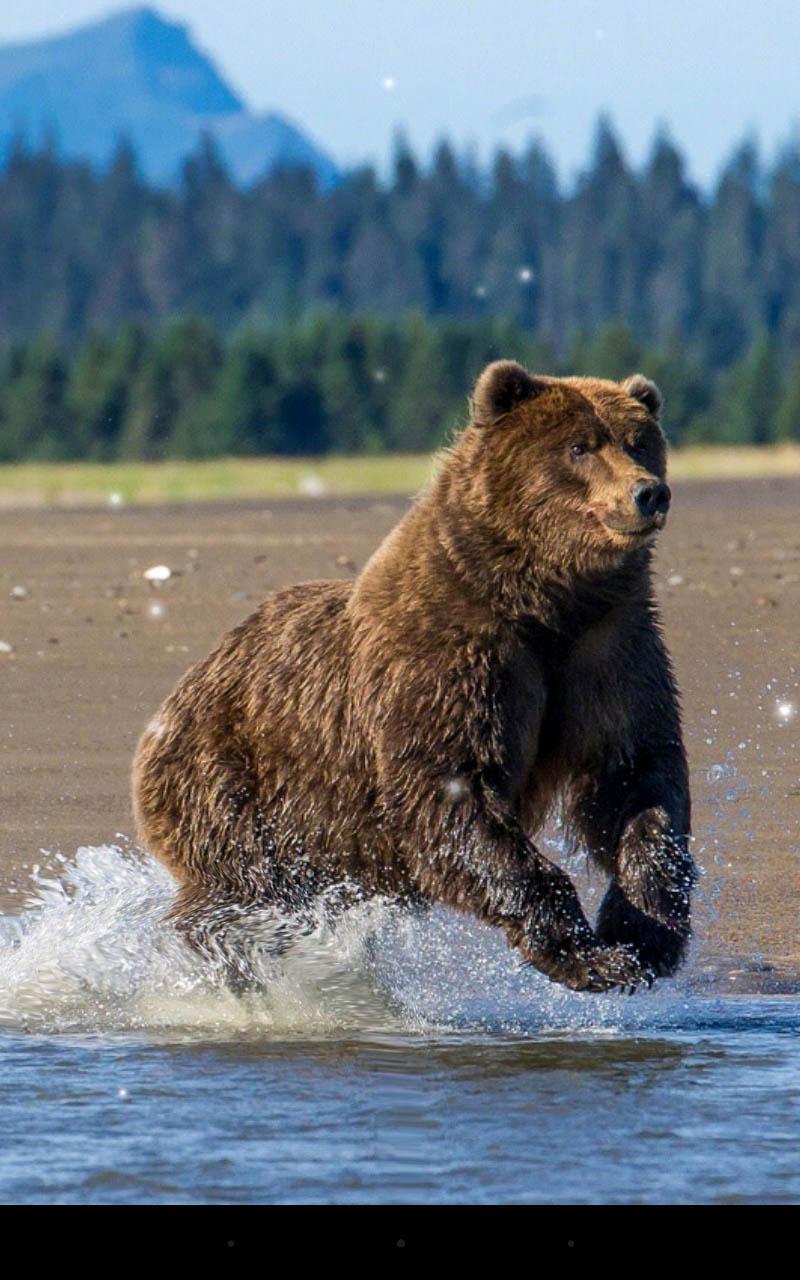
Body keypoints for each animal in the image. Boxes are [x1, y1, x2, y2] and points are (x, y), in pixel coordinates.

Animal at [132, 362, 695, 994]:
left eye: (640, 442)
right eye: (579, 446)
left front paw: (642, 936)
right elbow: (449, 792)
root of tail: (180, 690)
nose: (648, 492)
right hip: (230, 783)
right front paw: (589, 956)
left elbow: (634, 780)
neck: (544, 603)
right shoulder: (449, 658)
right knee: (242, 894)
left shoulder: (609, 650)